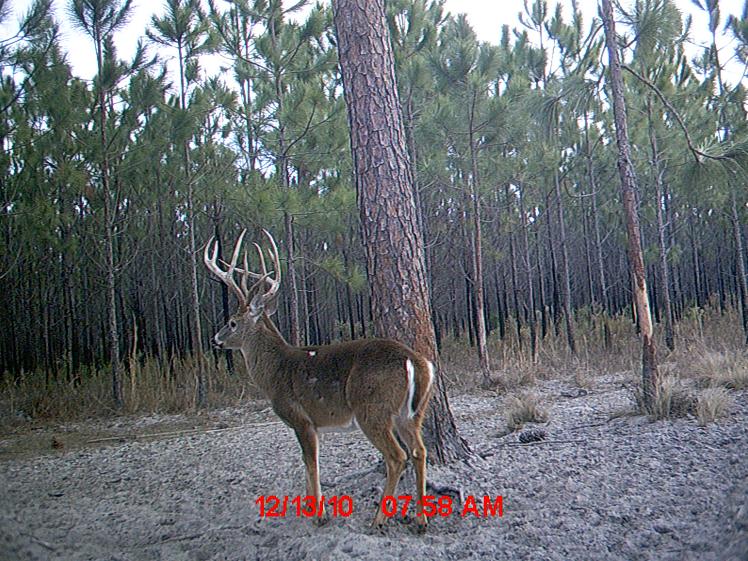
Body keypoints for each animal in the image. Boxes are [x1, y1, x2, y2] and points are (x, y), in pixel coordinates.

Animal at [203, 229, 434, 530]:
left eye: (231, 322)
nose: (215, 339)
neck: (275, 371)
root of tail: (415, 360)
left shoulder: (300, 417)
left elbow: (311, 463)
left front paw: (320, 515)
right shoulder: (309, 424)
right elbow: (305, 463)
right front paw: (307, 507)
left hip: (372, 409)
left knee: (397, 457)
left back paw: (379, 518)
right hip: (412, 413)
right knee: (419, 451)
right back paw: (420, 518)